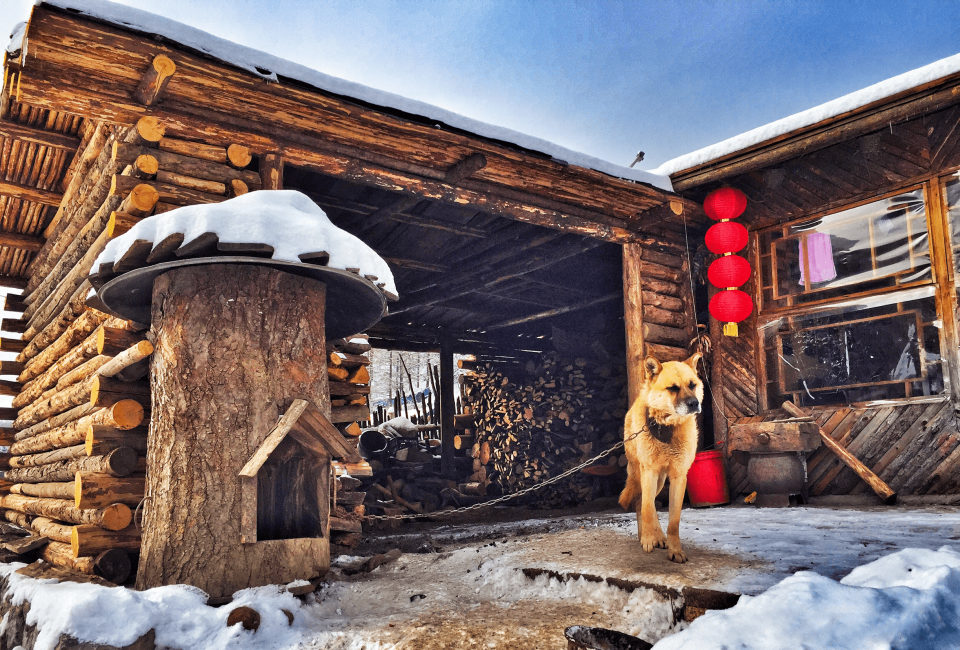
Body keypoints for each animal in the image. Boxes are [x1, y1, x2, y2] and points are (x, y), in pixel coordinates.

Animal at [620, 352, 700, 560]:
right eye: (673, 388)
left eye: (692, 385)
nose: (694, 404)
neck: (666, 428)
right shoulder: (649, 471)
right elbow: (648, 509)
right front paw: (649, 539)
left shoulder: (678, 477)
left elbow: (673, 521)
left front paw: (675, 550)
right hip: (646, 476)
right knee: (642, 503)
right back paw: (647, 536)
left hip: (661, 480)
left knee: (643, 502)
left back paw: (659, 537)